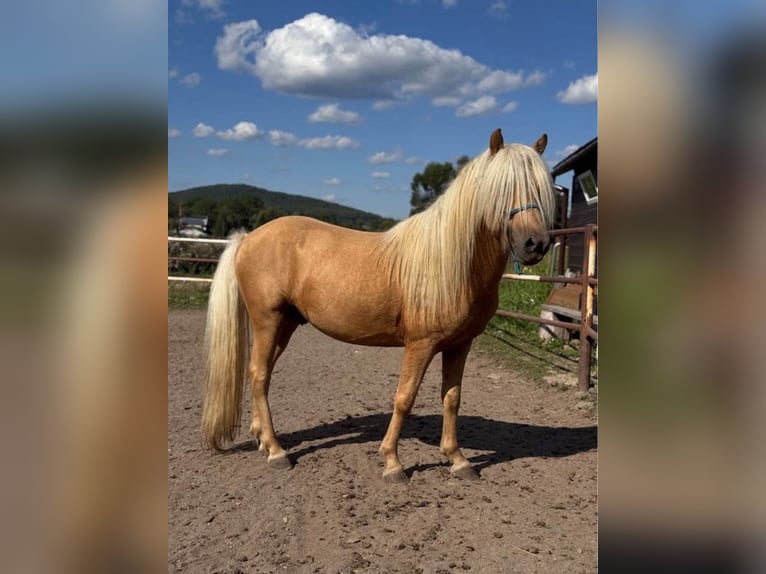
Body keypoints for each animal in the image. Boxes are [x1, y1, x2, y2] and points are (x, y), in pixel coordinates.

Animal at [201, 129, 555, 482]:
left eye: (543, 186)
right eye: (502, 188)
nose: (535, 244)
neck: (452, 263)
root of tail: (248, 239)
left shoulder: (460, 344)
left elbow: (451, 398)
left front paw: (458, 460)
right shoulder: (420, 345)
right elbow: (404, 398)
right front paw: (393, 463)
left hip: (285, 324)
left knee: (261, 374)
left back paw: (262, 439)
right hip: (268, 320)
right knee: (259, 374)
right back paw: (277, 452)